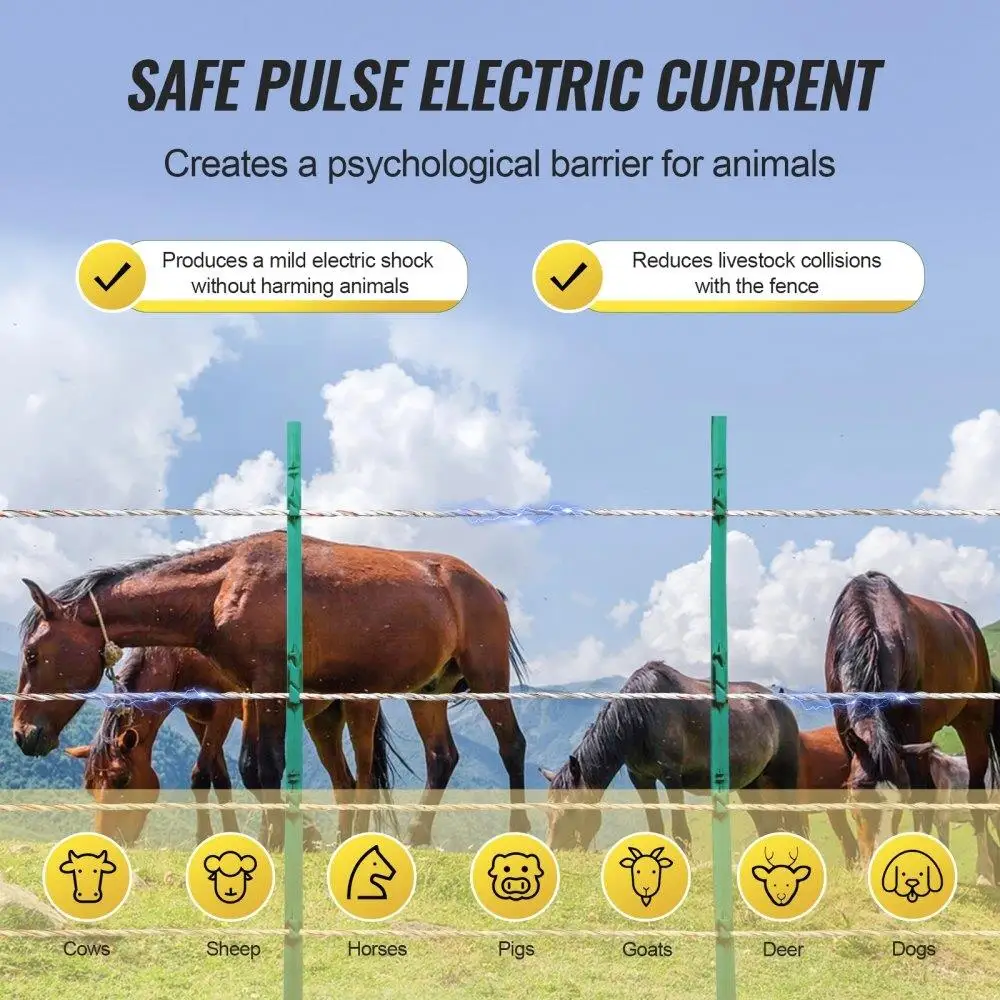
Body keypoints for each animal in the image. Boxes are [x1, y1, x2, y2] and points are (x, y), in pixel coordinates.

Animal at [13, 531, 530, 849]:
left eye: (33, 655)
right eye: (90, 785)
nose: (22, 734)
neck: (222, 588)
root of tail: (484, 585)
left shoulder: (260, 693)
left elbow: (260, 767)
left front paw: (279, 838)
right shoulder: (248, 695)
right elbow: (247, 770)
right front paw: (276, 836)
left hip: (484, 681)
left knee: (510, 746)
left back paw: (518, 829)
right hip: (426, 692)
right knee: (438, 758)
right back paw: (415, 836)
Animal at [540, 661, 805, 853]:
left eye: (571, 811)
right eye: (548, 812)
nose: (557, 851)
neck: (640, 718)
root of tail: (780, 704)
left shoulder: (671, 777)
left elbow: (680, 833)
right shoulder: (642, 779)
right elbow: (656, 828)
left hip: (785, 775)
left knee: (795, 822)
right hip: (751, 783)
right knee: (766, 824)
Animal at [825, 570, 1000, 884]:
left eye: (897, 808)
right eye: (858, 802)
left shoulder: (913, 732)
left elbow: (921, 801)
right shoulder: (847, 734)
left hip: (972, 727)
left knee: (974, 794)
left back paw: (984, 873)